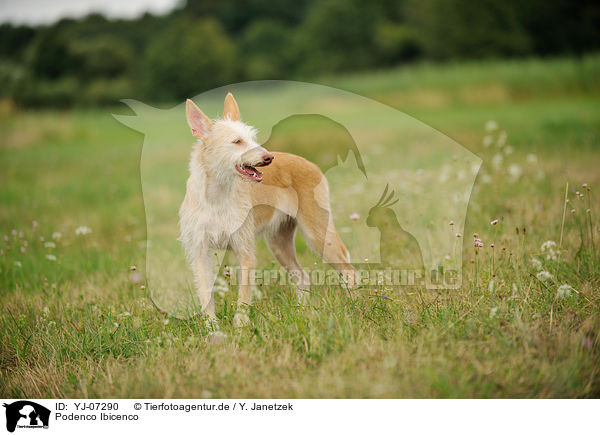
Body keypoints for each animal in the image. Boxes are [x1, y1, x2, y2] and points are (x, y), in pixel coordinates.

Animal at [180, 93, 354, 328]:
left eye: (253, 138)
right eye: (237, 141)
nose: (268, 158)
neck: (217, 195)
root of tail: (310, 163)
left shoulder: (244, 250)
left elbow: (244, 294)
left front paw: (240, 326)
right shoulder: (200, 252)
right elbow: (206, 294)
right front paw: (212, 329)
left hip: (318, 235)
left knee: (348, 270)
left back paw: (355, 305)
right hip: (279, 243)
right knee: (302, 276)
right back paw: (302, 312)